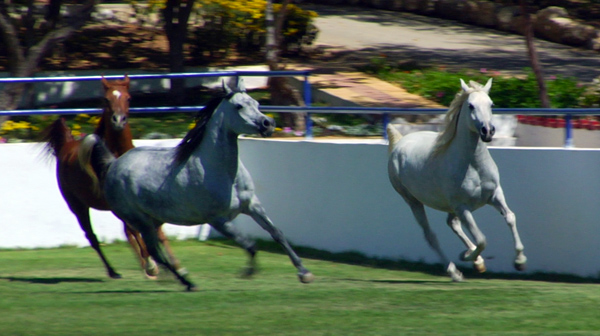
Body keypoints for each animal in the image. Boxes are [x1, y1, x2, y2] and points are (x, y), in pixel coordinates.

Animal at [42, 75, 178, 278]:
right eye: (106, 99)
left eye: (128, 98)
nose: (119, 120)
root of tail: (66, 145)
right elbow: (136, 230)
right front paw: (151, 265)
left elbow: (154, 229)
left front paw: (169, 263)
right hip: (77, 206)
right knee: (92, 236)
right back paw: (115, 271)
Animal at [82, 77, 316, 290]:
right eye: (239, 106)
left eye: (257, 104)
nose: (268, 124)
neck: (224, 173)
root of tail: (113, 164)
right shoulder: (218, 220)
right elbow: (250, 245)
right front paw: (247, 273)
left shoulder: (253, 206)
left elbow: (277, 234)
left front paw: (304, 273)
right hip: (140, 221)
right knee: (154, 251)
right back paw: (187, 282)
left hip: (154, 220)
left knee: (158, 250)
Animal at [390, 78, 524, 280]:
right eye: (471, 106)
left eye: (491, 104)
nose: (488, 131)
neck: (474, 166)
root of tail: (399, 143)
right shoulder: (463, 207)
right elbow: (481, 240)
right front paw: (468, 256)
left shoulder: (495, 195)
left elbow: (510, 217)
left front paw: (519, 261)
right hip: (413, 201)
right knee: (431, 236)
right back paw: (455, 272)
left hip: (450, 206)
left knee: (452, 224)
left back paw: (475, 261)